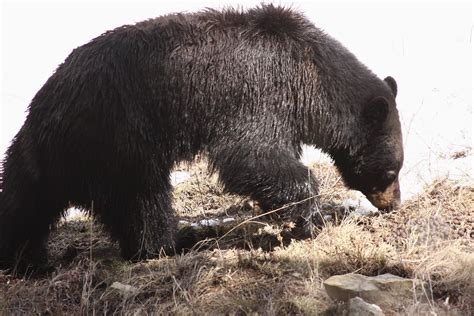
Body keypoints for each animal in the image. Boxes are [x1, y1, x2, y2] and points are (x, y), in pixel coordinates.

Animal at [0, 4, 404, 272]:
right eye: (391, 170)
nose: (394, 203)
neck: (310, 78)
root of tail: (43, 109)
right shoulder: (261, 93)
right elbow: (250, 157)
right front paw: (311, 219)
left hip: (49, 158)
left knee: (24, 203)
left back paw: (23, 259)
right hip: (120, 138)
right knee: (142, 203)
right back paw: (173, 244)